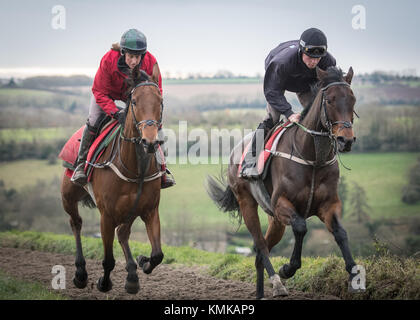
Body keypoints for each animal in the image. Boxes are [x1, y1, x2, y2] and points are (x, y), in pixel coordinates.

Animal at [61, 67, 165, 296]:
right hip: (68, 196)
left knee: (123, 233)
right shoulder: (106, 216)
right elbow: (108, 259)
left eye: (160, 100)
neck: (135, 168)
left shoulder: (150, 210)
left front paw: (142, 261)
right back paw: (80, 273)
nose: (150, 141)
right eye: (134, 101)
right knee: (76, 223)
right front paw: (104, 283)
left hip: (129, 211)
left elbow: (157, 255)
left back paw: (132, 275)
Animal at [207, 66, 358, 298]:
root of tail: (235, 151)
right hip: (247, 203)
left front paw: (354, 275)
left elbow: (340, 232)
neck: (313, 158)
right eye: (330, 100)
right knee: (260, 246)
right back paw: (277, 283)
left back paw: (261, 292)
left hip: (275, 220)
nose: (346, 140)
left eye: (353, 99)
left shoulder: (328, 204)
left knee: (262, 251)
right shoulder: (282, 204)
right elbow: (301, 227)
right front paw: (287, 268)